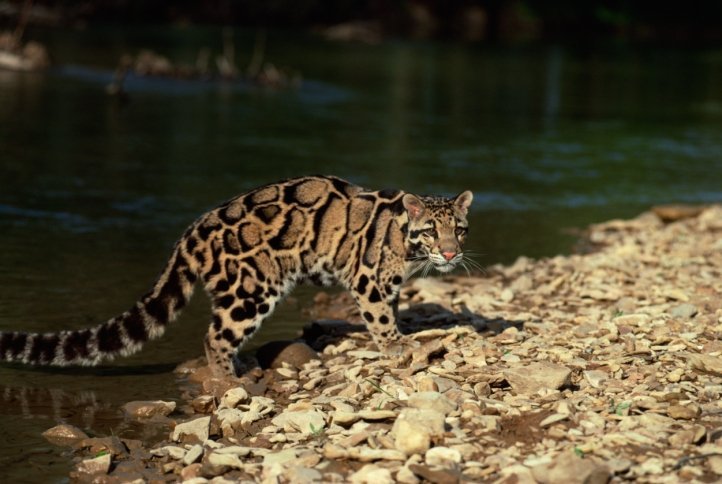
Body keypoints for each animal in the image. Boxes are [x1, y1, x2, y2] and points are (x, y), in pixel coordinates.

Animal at [0, 176, 473, 376]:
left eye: (460, 229)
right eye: (431, 231)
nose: (451, 252)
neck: (407, 245)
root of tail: (191, 232)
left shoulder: (387, 285)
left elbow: (391, 309)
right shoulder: (367, 278)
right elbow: (380, 317)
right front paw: (394, 345)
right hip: (251, 290)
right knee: (214, 337)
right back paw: (230, 380)